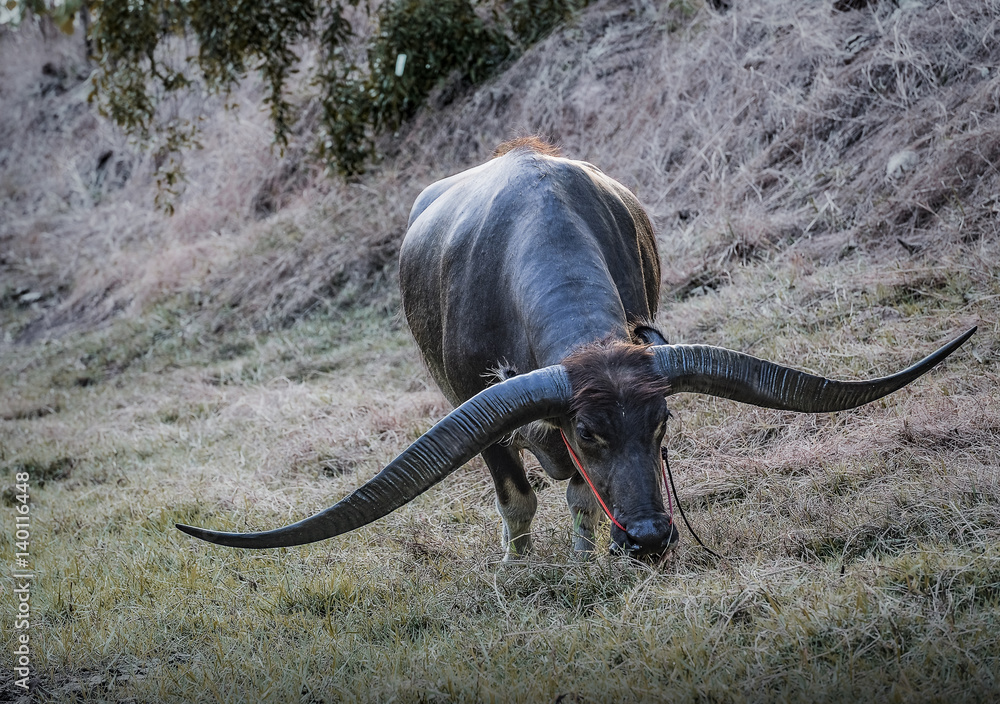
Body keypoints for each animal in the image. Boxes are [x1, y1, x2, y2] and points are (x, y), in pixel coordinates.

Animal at [177, 139, 974, 560]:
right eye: (589, 431)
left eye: (662, 425)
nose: (650, 537)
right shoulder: (477, 410)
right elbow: (518, 498)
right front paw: (522, 566)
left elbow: (579, 498)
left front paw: (588, 557)